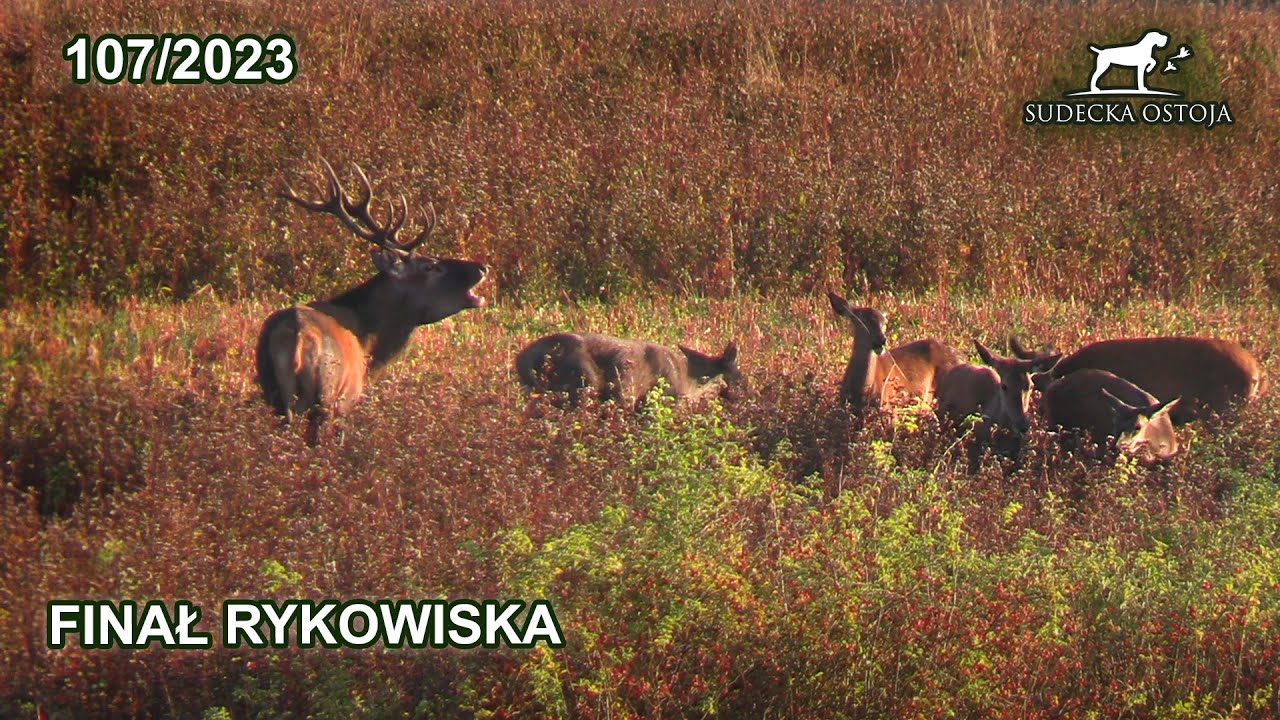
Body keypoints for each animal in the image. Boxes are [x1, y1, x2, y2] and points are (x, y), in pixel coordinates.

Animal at [256, 159, 488, 441]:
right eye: (431, 266)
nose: (481, 267)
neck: (368, 347)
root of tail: (296, 338)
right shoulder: (348, 401)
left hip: (271, 390)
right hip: (326, 395)